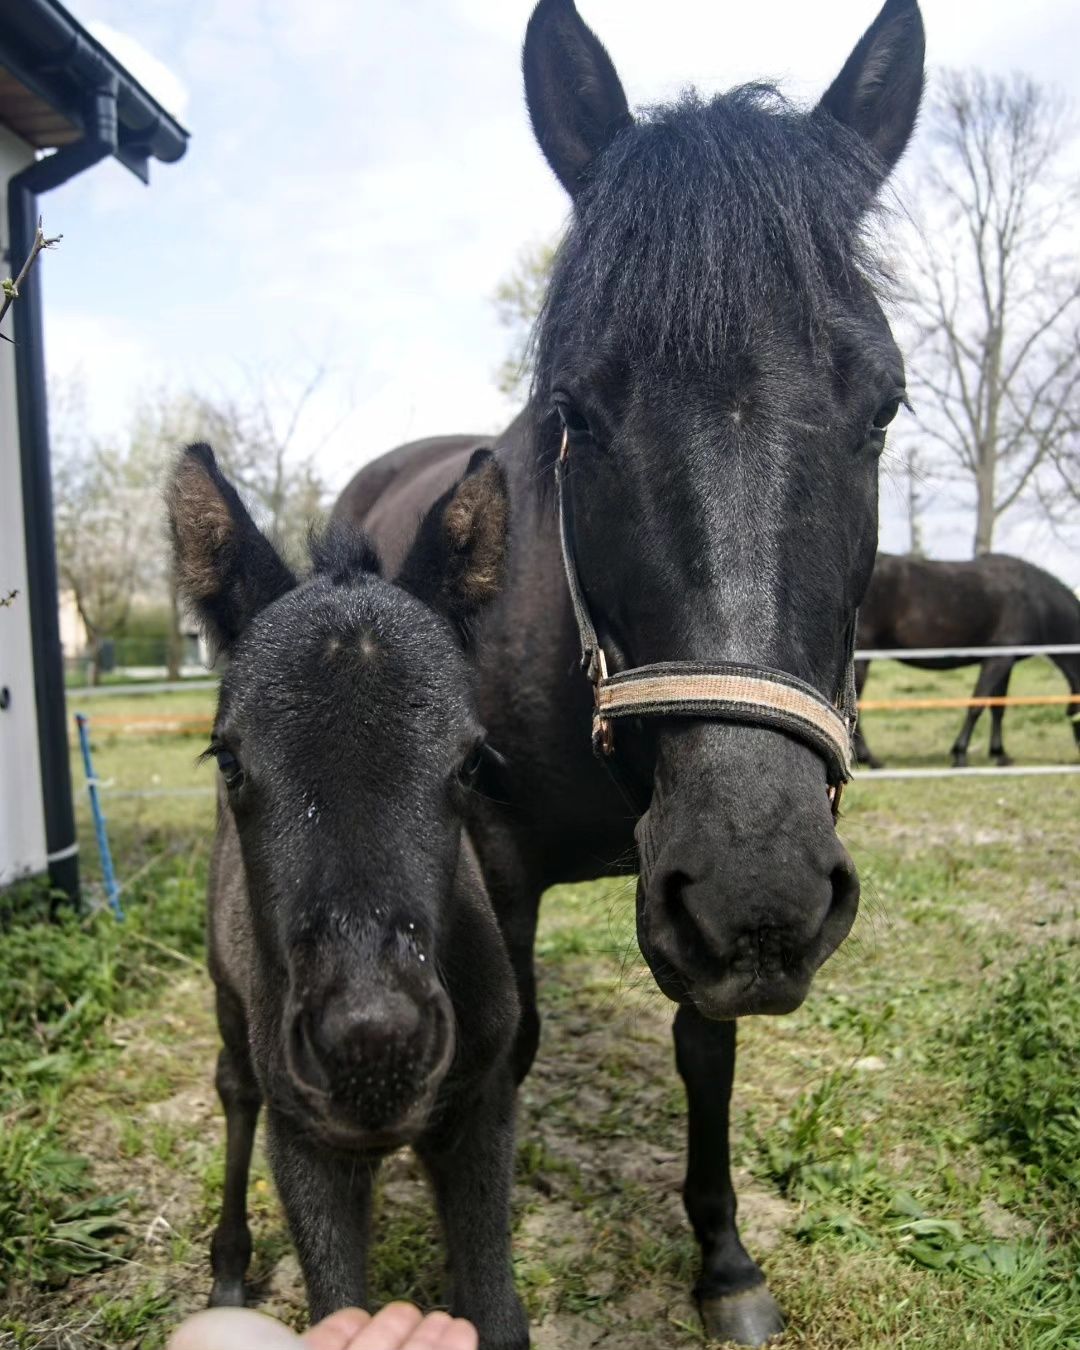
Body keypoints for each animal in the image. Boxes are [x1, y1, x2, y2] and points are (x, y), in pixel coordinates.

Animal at [853, 553, 1080, 772]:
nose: (1076, 760)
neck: (1036, 602)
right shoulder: (997, 660)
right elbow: (976, 705)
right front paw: (960, 755)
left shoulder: (1005, 661)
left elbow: (998, 708)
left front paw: (1000, 755)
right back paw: (871, 760)